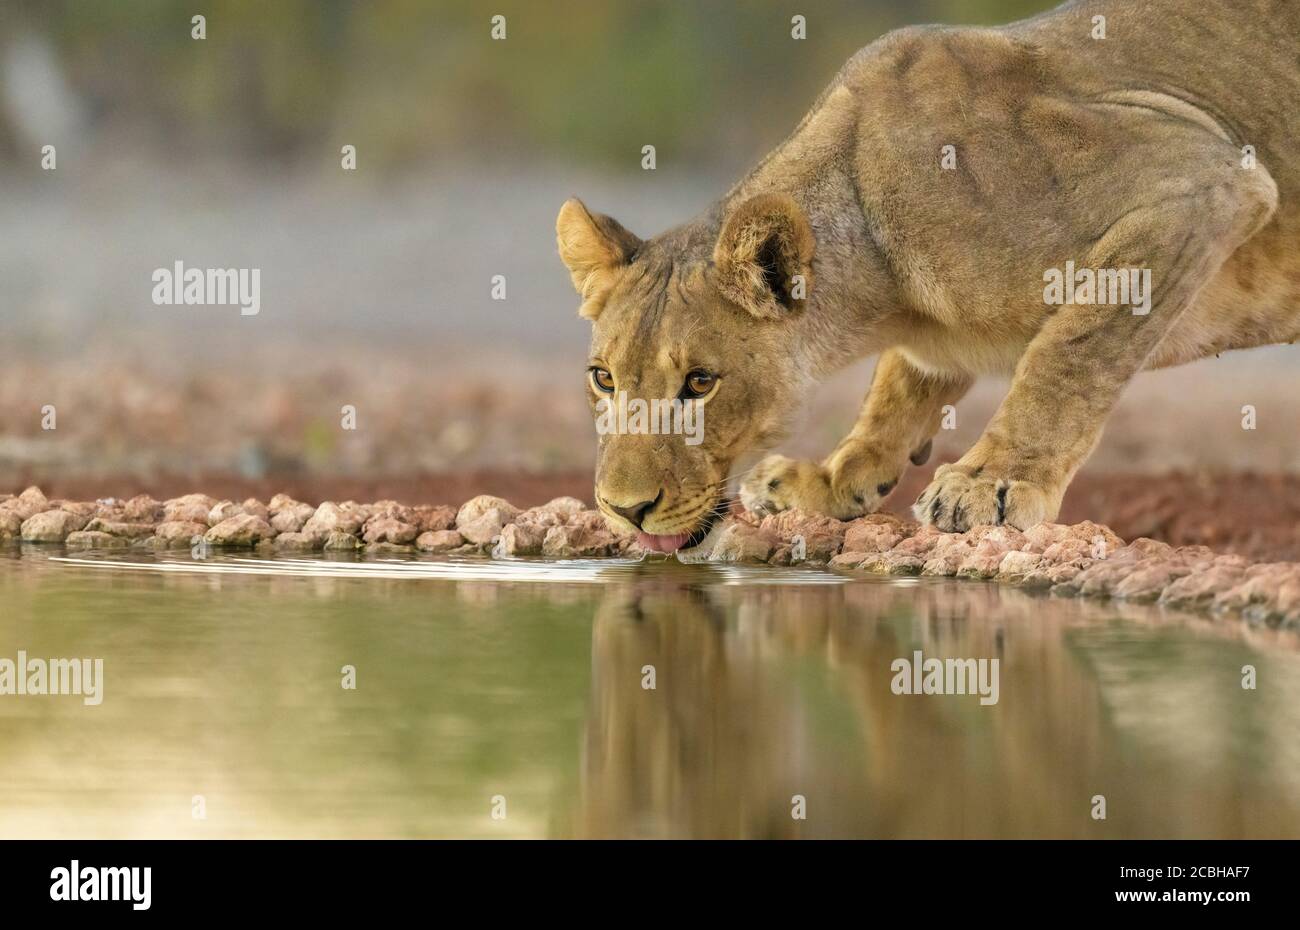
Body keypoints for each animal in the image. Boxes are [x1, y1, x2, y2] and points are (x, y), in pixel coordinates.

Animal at [557, 0, 1299, 552]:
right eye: (602, 379)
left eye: (701, 384)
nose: (624, 510)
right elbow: (897, 389)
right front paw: (832, 479)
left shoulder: (1205, 182)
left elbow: (1069, 355)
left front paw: (993, 483)